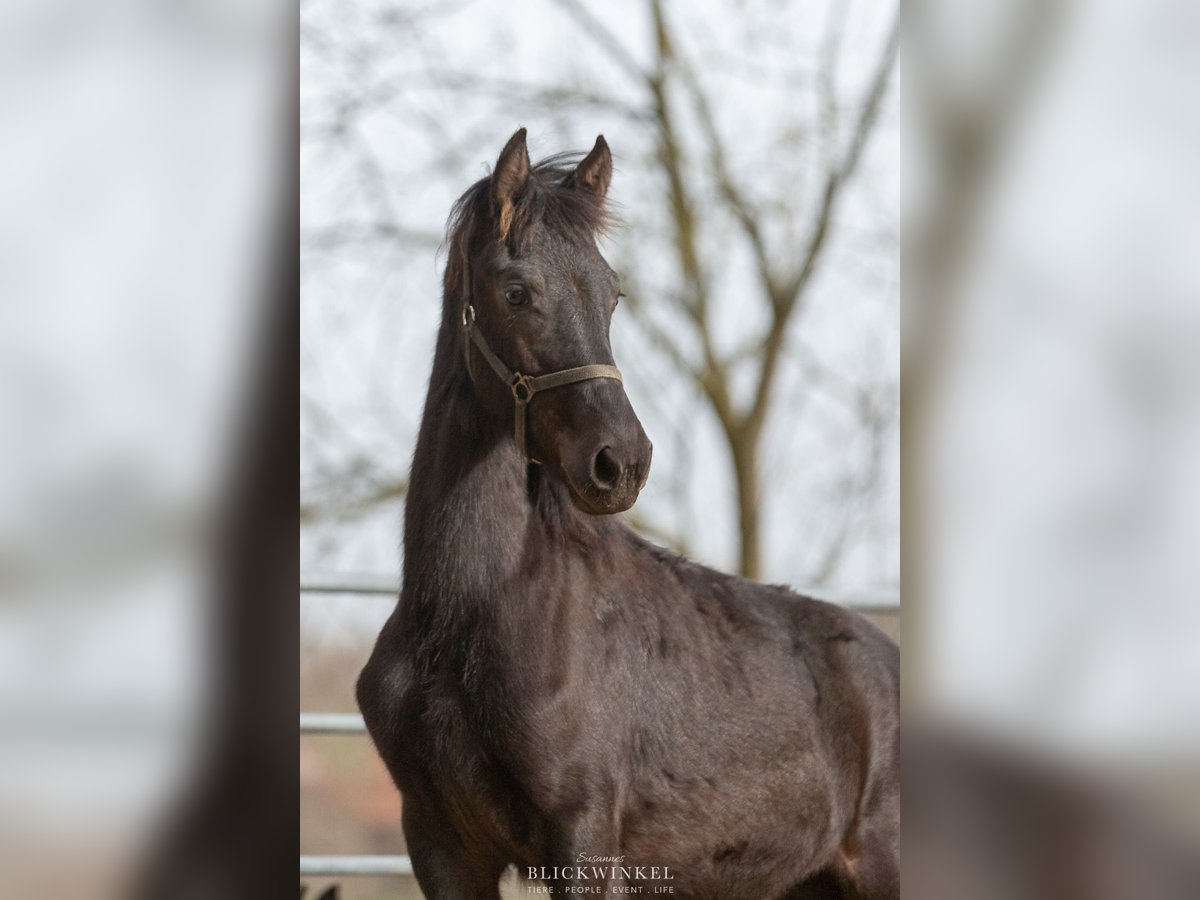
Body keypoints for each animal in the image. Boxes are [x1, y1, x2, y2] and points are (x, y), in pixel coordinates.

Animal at [355, 130, 902, 897]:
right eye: (516, 291)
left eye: (612, 294)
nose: (622, 462)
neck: (467, 617)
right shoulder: (438, 843)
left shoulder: (585, 838)